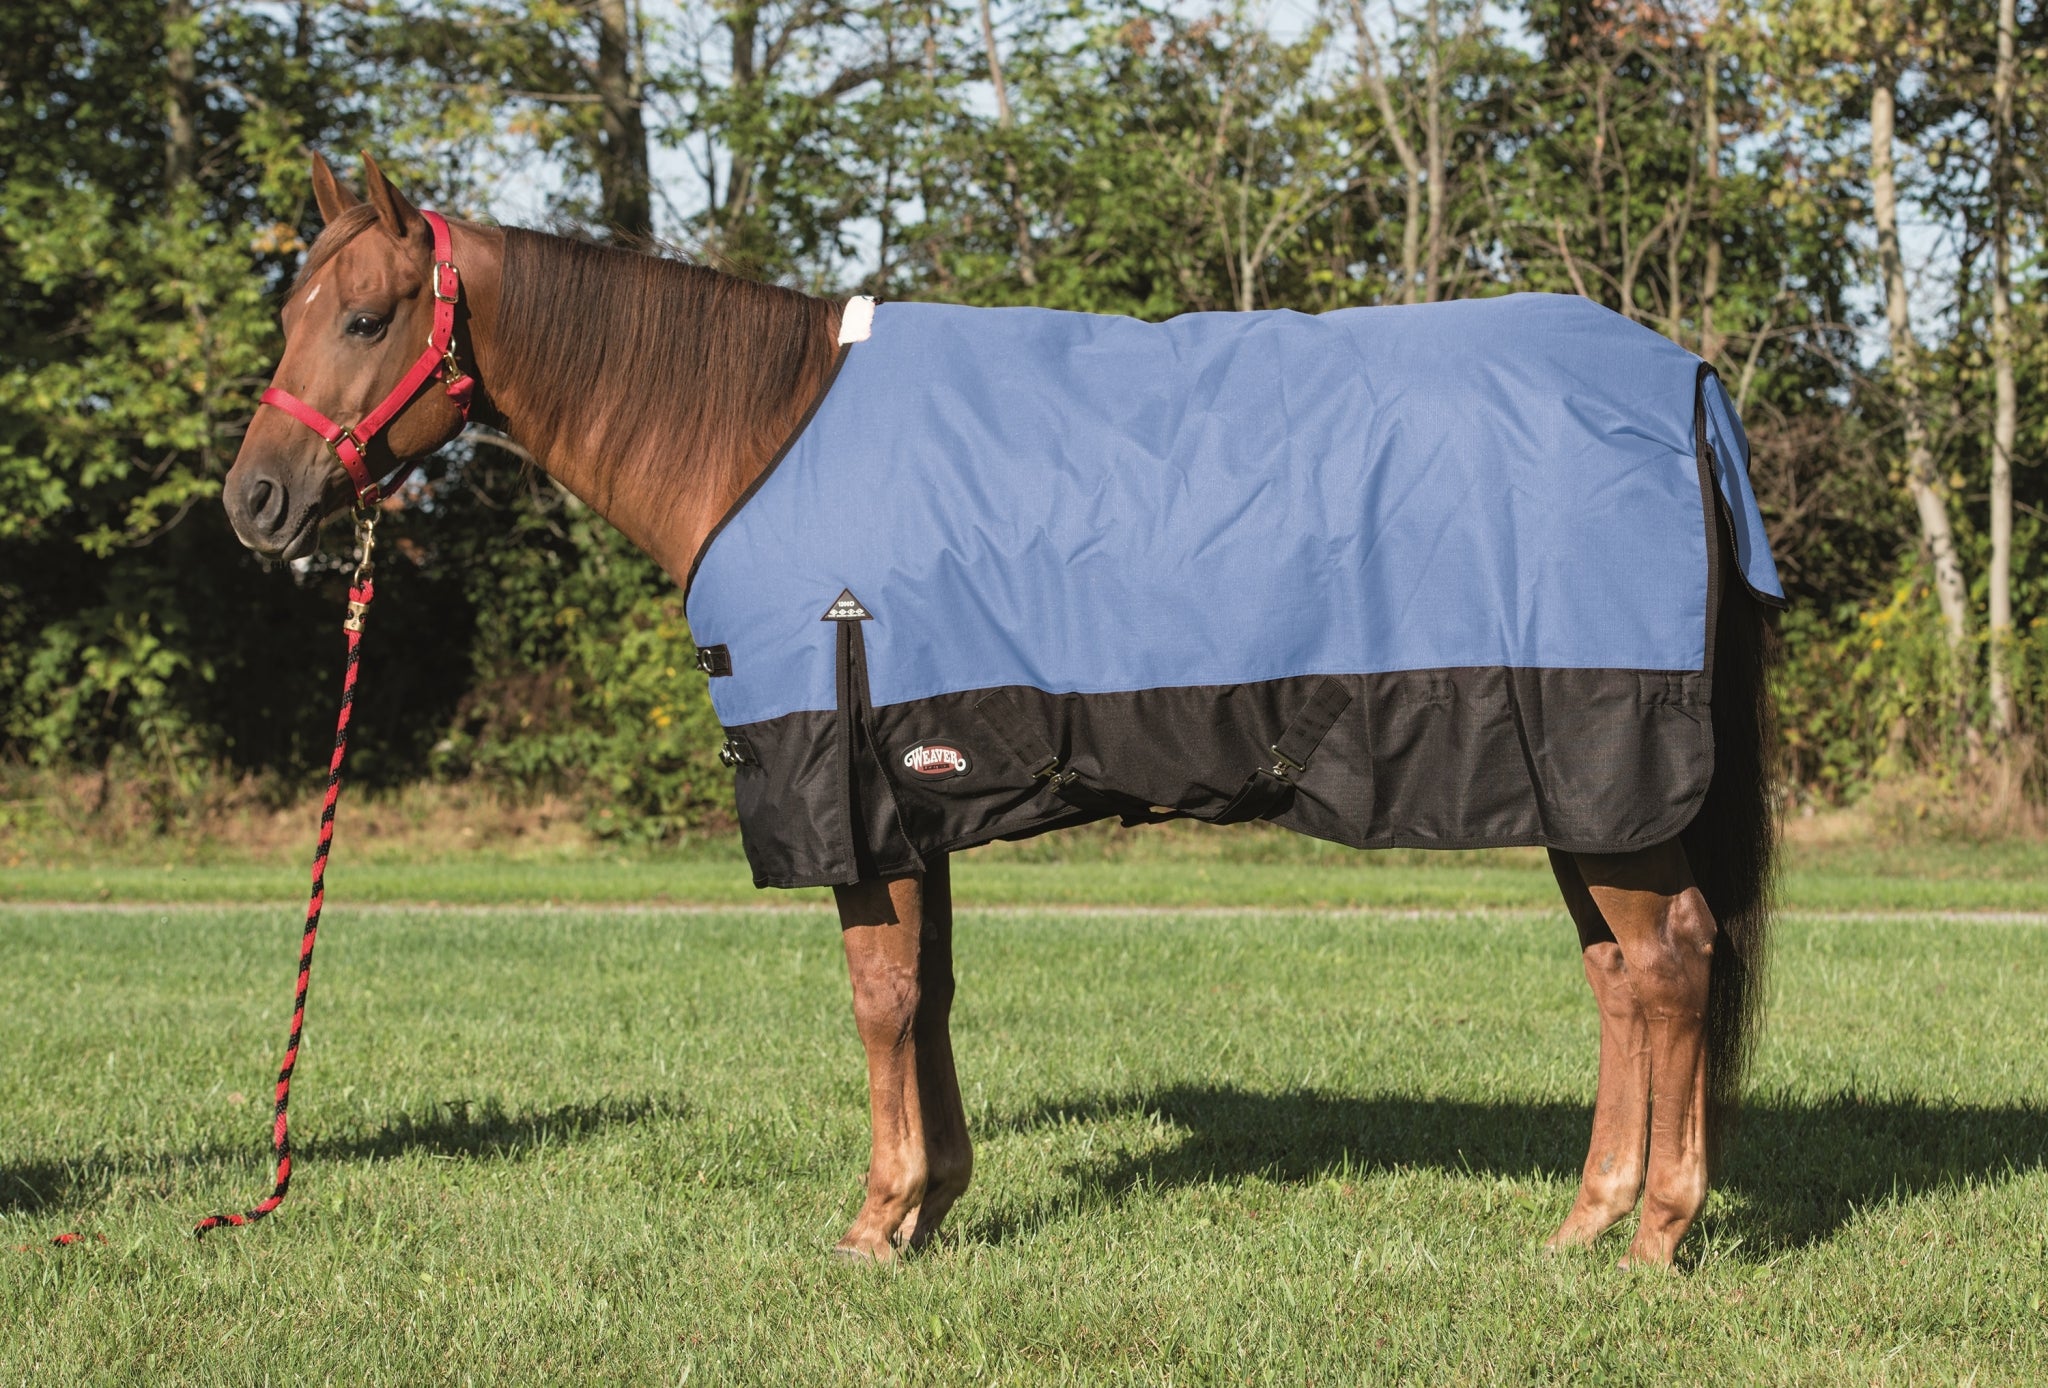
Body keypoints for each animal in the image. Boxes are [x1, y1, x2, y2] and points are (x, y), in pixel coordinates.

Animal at [223, 152, 1778, 1269]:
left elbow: (879, 995)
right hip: (1576, 790)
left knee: (1673, 962)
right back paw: (1585, 1220)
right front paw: (934, 1203)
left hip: (1605, 767)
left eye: (364, 316)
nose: (256, 503)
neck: (760, 434)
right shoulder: (918, 786)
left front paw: (876, 1220)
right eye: (290, 312)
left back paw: (1657, 1234)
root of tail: (1686, 386)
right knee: (1621, 978)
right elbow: (931, 991)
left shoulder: (844, 785)